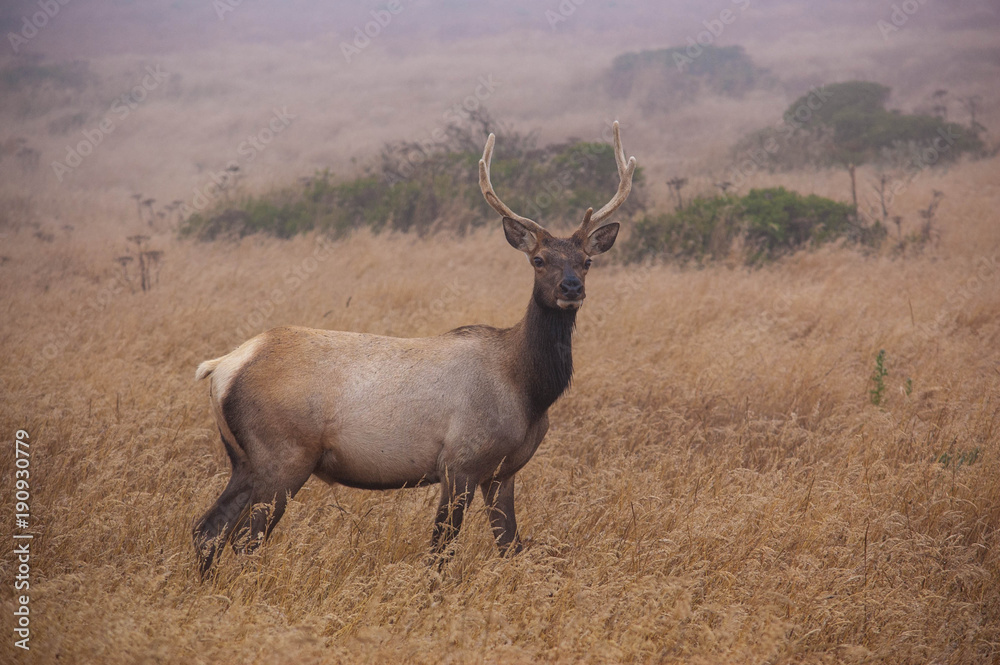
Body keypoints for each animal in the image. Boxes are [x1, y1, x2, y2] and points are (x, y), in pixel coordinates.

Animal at [192, 122, 636, 576]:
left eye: (586, 261)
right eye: (539, 260)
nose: (572, 288)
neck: (528, 389)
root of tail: (222, 367)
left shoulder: (503, 472)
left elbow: (511, 548)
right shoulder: (460, 461)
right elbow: (440, 550)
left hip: (245, 459)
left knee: (209, 528)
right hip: (283, 454)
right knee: (244, 539)